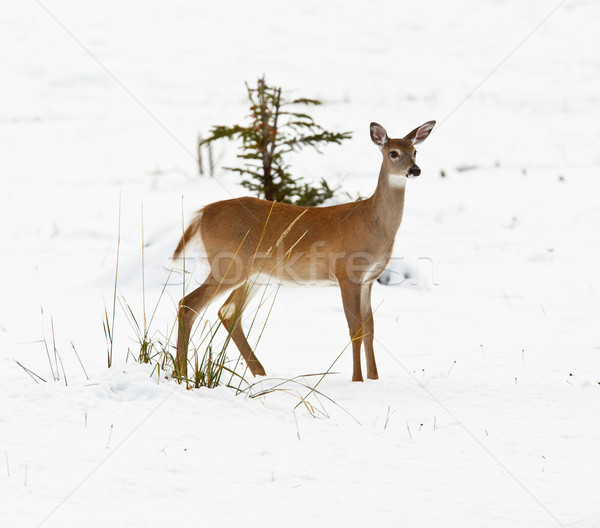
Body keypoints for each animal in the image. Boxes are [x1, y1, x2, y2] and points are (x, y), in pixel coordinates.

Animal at [173, 121, 436, 382]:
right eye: (393, 153)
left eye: (415, 151)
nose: (415, 170)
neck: (372, 222)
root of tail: (202, 214)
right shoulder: (347, 273)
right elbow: (355, 329)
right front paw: (357, 380)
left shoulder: (369, 279)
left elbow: (370, 329)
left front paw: (374, 379)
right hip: (227, 264)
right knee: (188, 304)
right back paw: (181, 373)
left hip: (253, 274)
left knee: (227, 312)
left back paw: (260, 374)